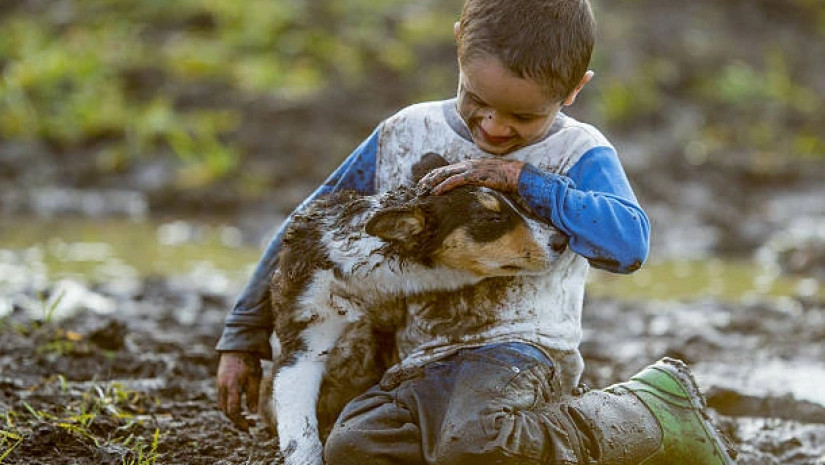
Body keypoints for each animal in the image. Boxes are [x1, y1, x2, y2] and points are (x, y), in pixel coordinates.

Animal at [260, 156, 568, 464]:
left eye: (521, 203)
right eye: (491, 218)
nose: (562, 241)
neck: (364, 274)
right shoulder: (303, 345)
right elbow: (299, 433)